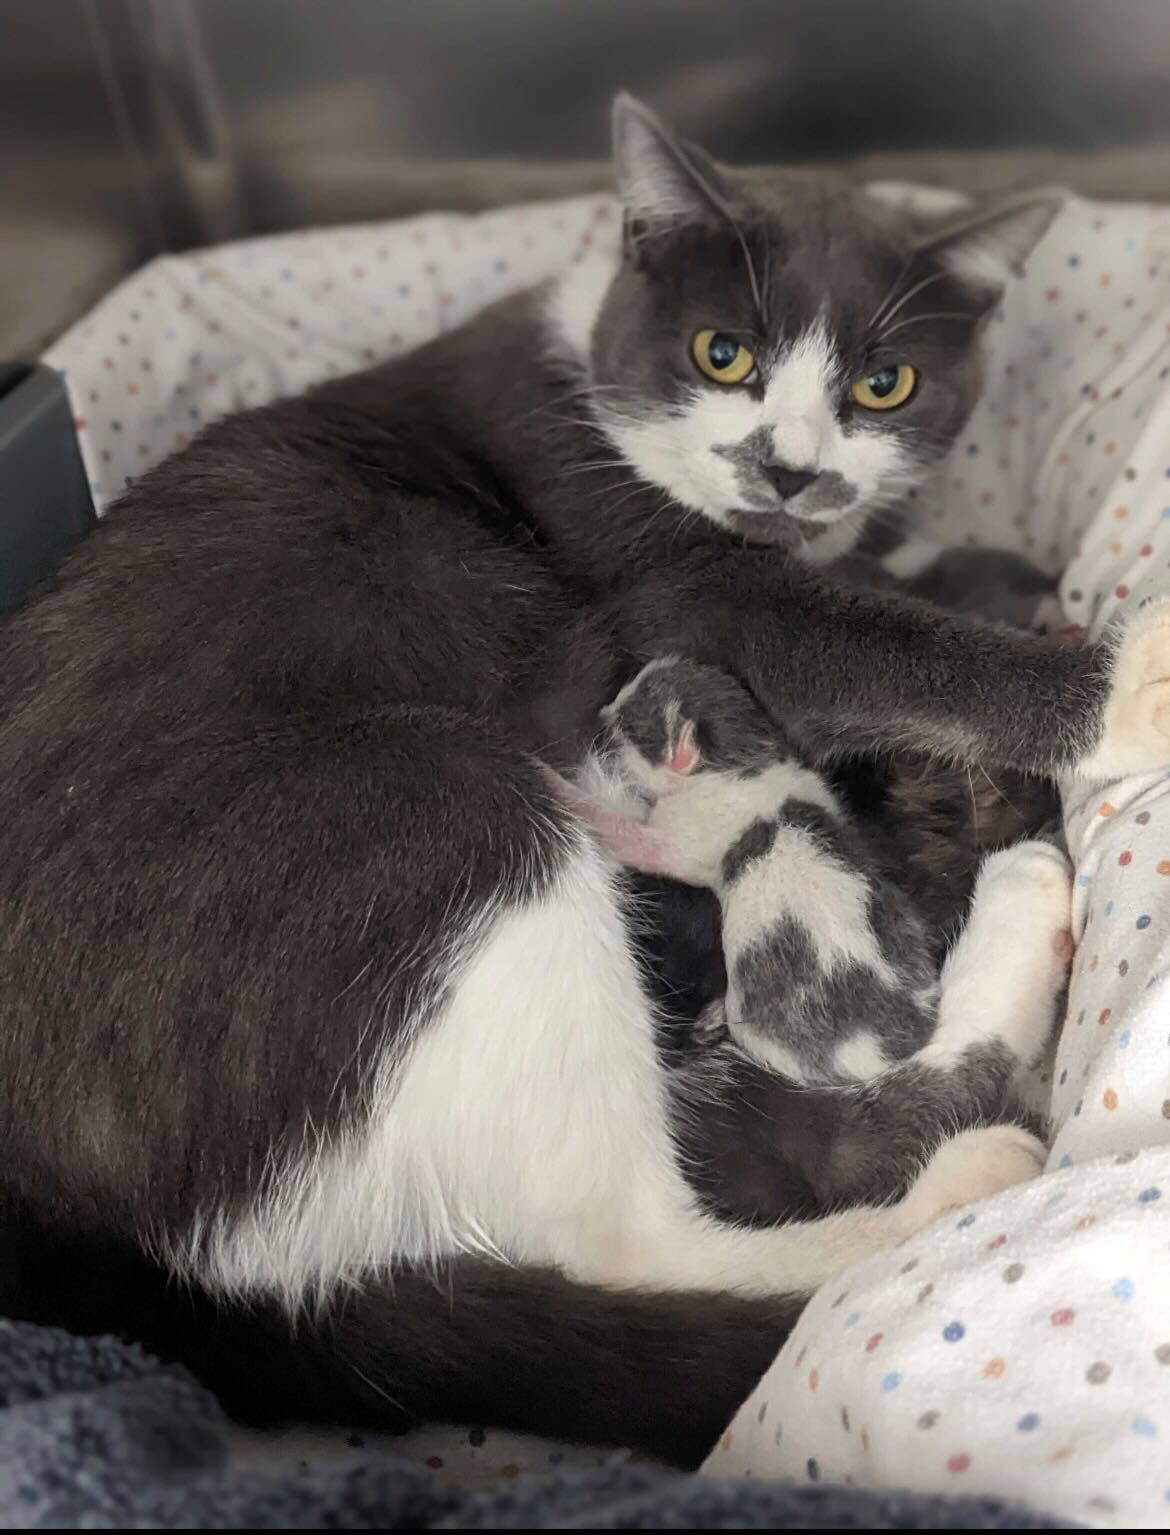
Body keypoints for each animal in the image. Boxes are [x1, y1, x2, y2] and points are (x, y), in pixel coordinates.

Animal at [2, 92, 1166, 1461]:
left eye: (886, 382)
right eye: (724, 354)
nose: (788, 468)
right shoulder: (660, 570)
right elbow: (876, 642)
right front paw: (1128, 683)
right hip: (426, 819)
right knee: (647, 1238)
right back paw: (995, 1037)